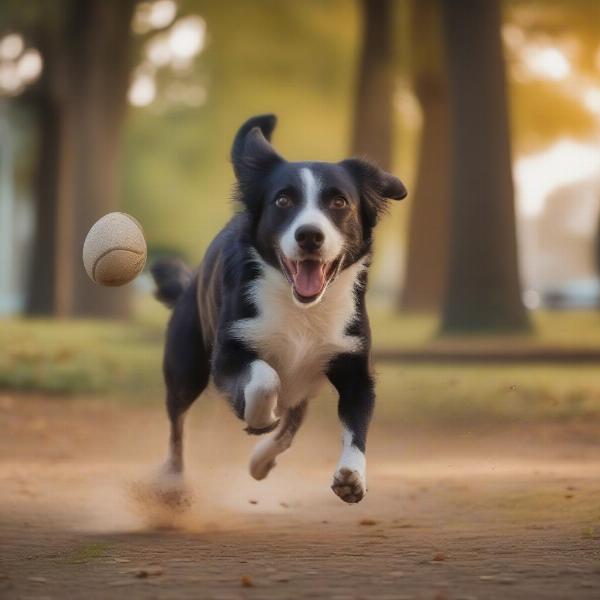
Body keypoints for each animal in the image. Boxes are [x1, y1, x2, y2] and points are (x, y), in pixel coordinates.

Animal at [150, 115, 408, 504]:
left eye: (339, 202)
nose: (310, 235)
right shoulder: (228, 355)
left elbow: (356, 421)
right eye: (283, 199)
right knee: (177, 426)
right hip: (186, 365)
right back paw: (173, 481)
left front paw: (352, 476)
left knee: (294, 418)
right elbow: (264, 378)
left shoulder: (354, 365)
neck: (301, 309)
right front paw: (258, 418)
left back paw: (261, 460)